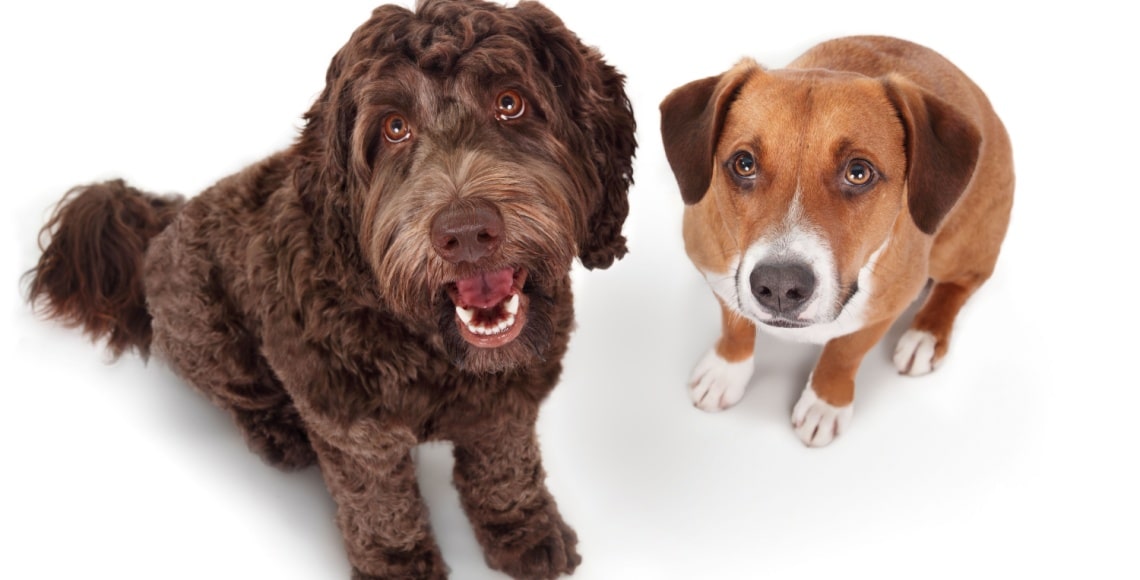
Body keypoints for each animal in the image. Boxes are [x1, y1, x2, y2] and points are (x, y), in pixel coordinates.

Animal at [26, 2, 638, 576]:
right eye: (394, 128)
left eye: (511, 103)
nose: (466, 232)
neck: (432, 345)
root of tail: (166, 219)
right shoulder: (352, 430)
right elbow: (379, 505)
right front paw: (398, 564)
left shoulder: (509, 405)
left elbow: (506, 469)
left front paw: (524, 530)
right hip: (205, 328)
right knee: (240, 392)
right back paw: (279, 430)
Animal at [661, 36, 1016, 444]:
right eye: (744, 163)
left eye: (858, 172)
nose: (780, 286)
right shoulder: (716, 274)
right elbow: (735, 326)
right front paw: (725, 372)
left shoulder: (884, 308)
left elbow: (843, 353)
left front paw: (825, 403)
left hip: (960, 245)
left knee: (962, 283)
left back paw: (925, 335)